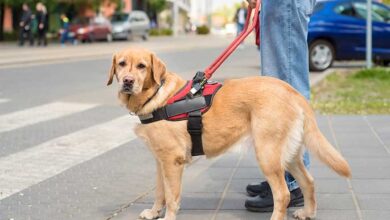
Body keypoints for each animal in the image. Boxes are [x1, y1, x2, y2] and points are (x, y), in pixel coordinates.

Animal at [106, 48, 350, 220]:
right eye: (122, 64)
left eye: (142, 66)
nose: (128, 81)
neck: (155, 96)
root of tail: (292, 91)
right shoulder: (161, 161)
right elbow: (160, 192)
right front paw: (154, 212)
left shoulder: (172, 161)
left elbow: (172, 197)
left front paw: (167, 217)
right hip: (289, 156)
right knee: (308, 182)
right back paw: (308, 212)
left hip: (267, 154)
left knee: (283, 194)